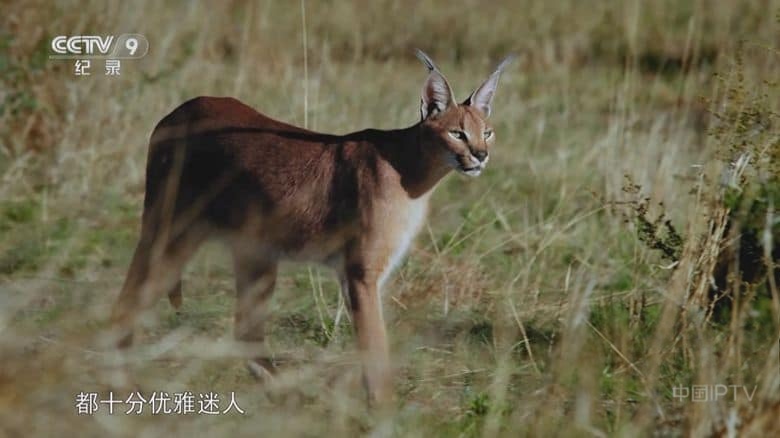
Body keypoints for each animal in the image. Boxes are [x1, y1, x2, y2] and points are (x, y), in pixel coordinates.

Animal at [110, 49, 513, 405]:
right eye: (457, 133)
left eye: (488, 132)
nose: (481, 155)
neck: (413, 170)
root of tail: (183, 107)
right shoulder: (361, 273)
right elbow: (375, 347)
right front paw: (384, 412)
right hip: (173, 233)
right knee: (128, 299)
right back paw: (124, 386)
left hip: (255, 251)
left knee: (244, 330)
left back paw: (288, 394)